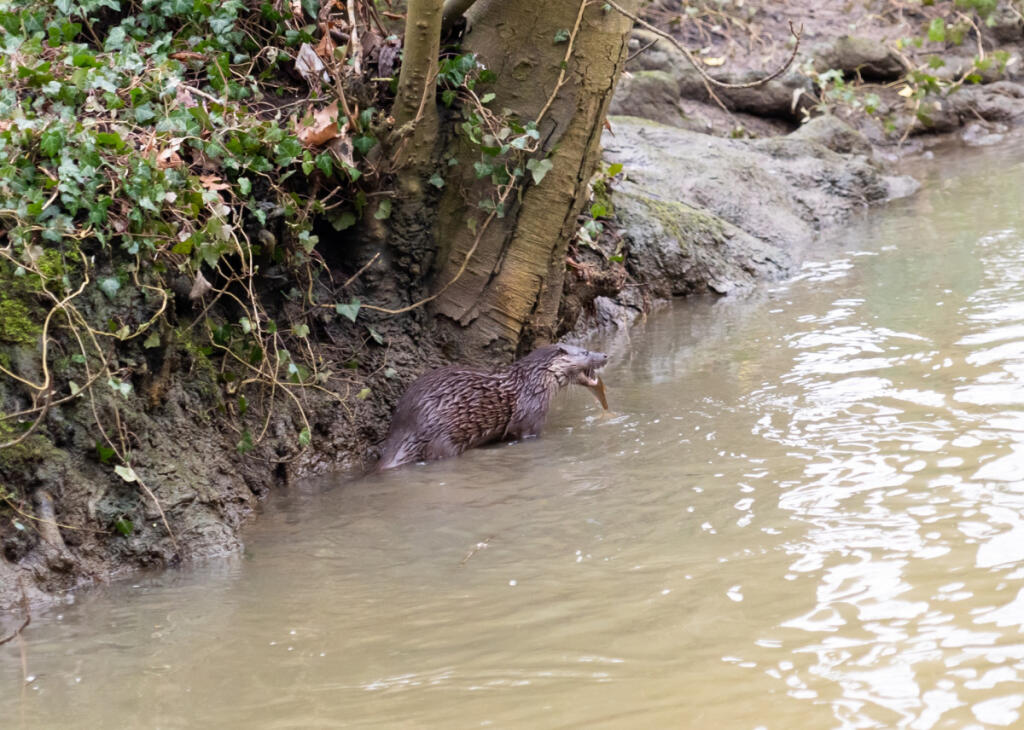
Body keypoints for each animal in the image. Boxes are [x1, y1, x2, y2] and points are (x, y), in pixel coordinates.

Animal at [378, 343, 608, 469]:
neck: (534, 382)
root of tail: (406, 427)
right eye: (585, 352)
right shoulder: (531, 417)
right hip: (440, 437)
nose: (604, 355)